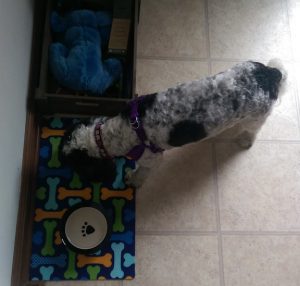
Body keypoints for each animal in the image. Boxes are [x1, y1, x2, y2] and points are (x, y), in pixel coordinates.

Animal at [61, 59, 286, 188]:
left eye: (79, 168)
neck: (121, 131)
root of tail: (270, 75)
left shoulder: (152, 158)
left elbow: (141, 173)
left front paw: (133, 180)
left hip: (257, 116)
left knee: (253, 131)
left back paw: (245, 139)